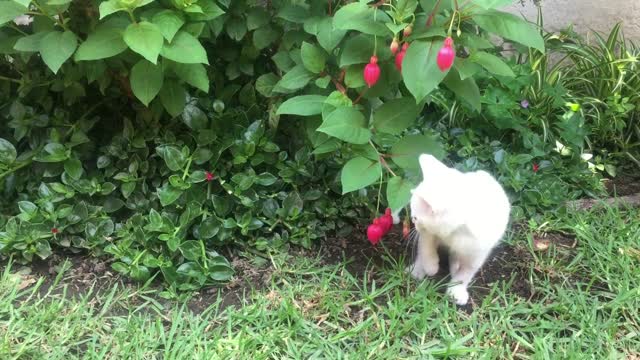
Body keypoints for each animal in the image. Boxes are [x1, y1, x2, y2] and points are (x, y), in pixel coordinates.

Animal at [410, 153, 510, 306]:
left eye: (415, 218)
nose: (413, 224)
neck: (454, 233)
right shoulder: (429, 233)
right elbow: (426, 247)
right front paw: (430, 267)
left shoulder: (477, 252)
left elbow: (466, 272)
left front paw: (456, 290)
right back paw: (418, 270)